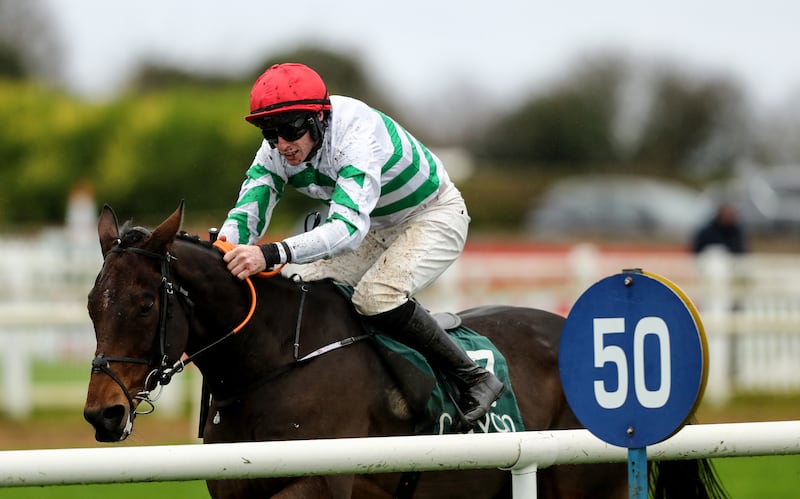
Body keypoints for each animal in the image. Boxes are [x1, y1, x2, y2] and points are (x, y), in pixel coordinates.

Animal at [83, 201, 724, 498]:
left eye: (144, 305)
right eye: (92, 304)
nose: (102, 413)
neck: (274, 360)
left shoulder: (317, 483)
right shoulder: (235, 486)